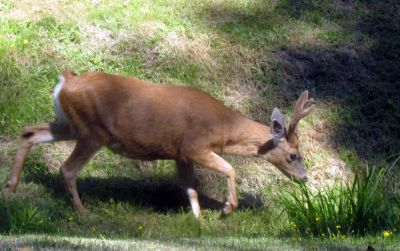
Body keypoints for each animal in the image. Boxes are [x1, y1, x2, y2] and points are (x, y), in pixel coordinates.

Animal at [4, 69, 314, 219]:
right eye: (293, 155)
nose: (304, 178)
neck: (223, 128)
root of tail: (65, 80)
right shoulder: (194, 146)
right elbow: (230, 169)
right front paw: (227, 209)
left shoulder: (180, 154)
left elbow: (190, 189)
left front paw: (199, 222)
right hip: (92, 131)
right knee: (67, 169)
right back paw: (84, 212)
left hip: (68, 124)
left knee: (29, 132)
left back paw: (10, 186)